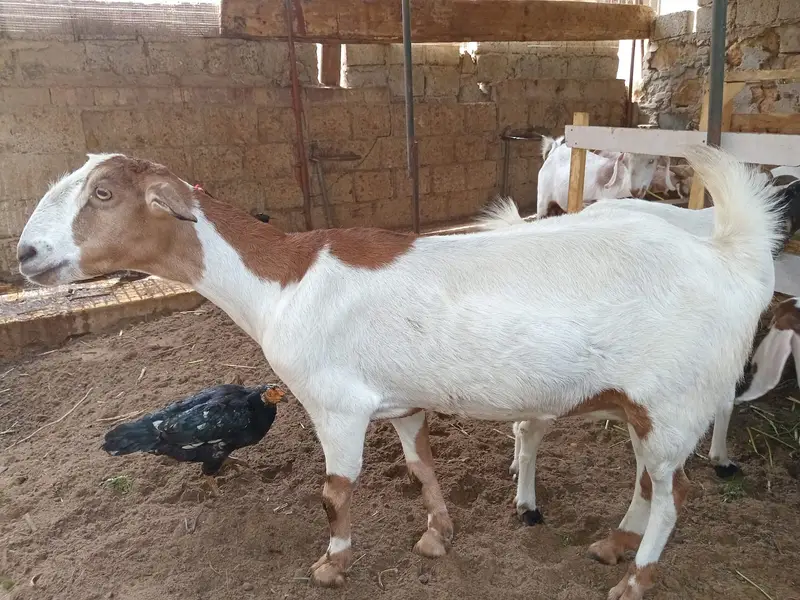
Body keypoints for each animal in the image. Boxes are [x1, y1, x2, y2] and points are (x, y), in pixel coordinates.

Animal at [18, 148, 782, 599]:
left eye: (104, 194)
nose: (26, 254)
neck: (282, 281)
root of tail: (733, 261)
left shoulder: (334, 405)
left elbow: (334, 491)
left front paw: (332, 563)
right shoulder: (400, 403)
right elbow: (421, 468)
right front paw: (438, 534)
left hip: (673, 399)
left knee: (676, 496)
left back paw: (637, 578)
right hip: (648, 404)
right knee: (651, 482)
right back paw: (615, 543)